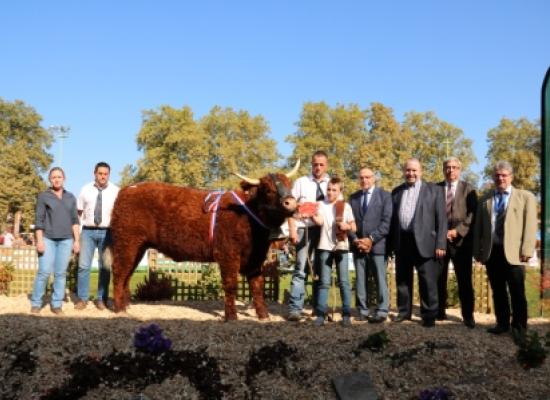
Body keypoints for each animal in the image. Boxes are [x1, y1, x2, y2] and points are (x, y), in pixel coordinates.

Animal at [110, 164, 300, 320]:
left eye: (290, 185)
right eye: (267, 189)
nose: (291, 203)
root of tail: (128, 189)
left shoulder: (255, 259)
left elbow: (258, 286)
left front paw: (264, 315)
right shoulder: (227, 255)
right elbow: (231, 285)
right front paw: (231, 316)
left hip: (138, 247)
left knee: (127, 275)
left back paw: (127, 306)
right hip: (126, 243)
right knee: (119, 273)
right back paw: (119, 310)